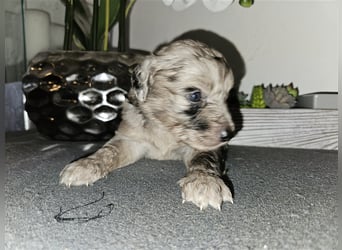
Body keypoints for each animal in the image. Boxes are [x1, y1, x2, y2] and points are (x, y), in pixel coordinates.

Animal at [59, 39, 235, 211]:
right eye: (195, 95)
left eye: (226, 97)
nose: (228, 134)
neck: (165, 127)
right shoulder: (131, 139)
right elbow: (108, 151)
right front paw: (85, 165)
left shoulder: (203, 145)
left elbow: (204, 159)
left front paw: (205, 182)